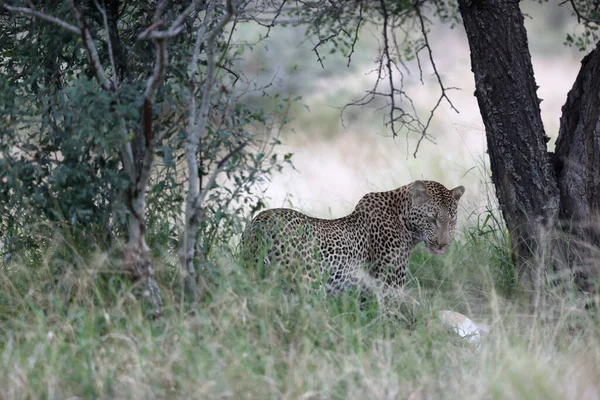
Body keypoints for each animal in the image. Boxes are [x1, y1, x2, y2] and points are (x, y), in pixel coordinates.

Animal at [240, 180, 464, 298]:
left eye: (452, 220)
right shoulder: (388, 288)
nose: (443, 244)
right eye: (432, 219)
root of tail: (261, 223)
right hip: (305, 283)